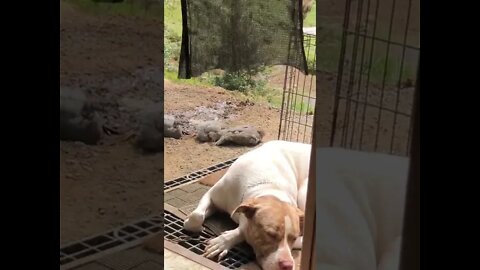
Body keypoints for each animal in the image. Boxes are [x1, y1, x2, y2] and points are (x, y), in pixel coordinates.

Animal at [182, 140, 310, 268]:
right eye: (270, 234)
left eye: (293, 238)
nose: (287, 265)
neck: (268, 187)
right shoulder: (212, 194)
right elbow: (197, 216)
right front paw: (194, 225)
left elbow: (243, 231)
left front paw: (223, 241)